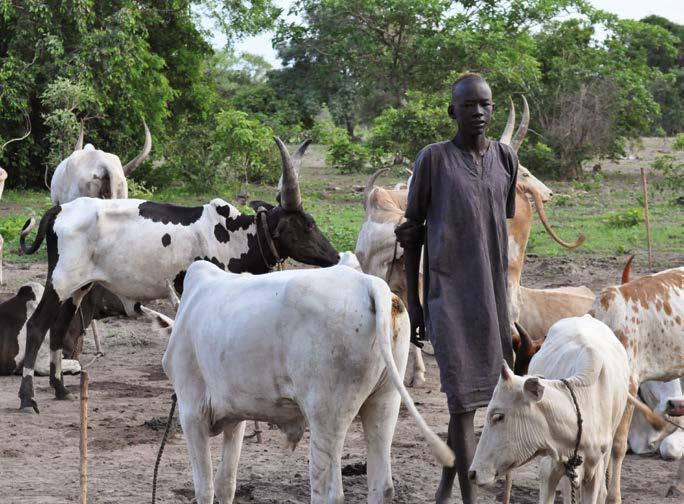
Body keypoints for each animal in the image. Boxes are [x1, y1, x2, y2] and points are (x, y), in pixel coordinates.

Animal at [13, 138, 340, 414]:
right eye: (306, 225)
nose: (335, 257)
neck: (233, 235)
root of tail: (59, 210)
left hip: (78, 288)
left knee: (58, 328)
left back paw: (60, 389)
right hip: (59, 282)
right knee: (37, 326)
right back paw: (28, 399)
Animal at [155, 260, 454, 504]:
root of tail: (370, 283)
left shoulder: (192, 414)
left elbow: (204, 488)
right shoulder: (235, 418)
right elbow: (225, 483)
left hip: (326, 414)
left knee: (328, 491)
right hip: (385, 400)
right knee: (382, 486)